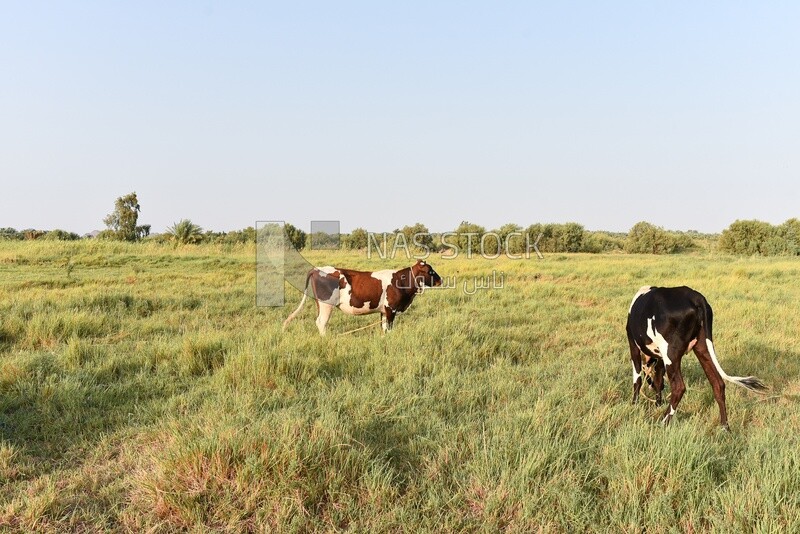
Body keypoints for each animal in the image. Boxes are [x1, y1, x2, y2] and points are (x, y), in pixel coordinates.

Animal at [282, 260, 444, 336]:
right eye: (430, 271)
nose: (440, 280)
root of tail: (317, 269)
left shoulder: (384, 311)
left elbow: (383, 327)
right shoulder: (391, 309)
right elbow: (389, 327)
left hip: (321, 305)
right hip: (326, 305)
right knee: (321, 322)